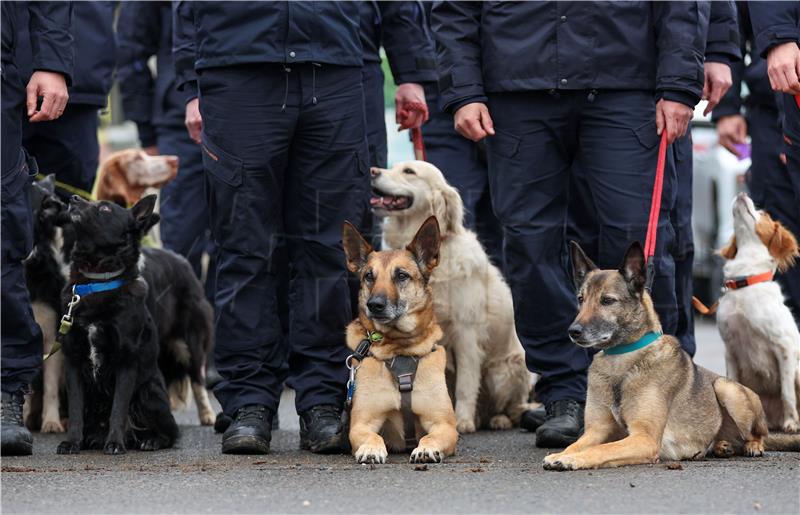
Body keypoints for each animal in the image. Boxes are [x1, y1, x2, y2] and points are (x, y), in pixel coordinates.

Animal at [57, 196, 188, 454]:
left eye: (105, 208)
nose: (73, 198)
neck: (96, 282)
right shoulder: (73, 361)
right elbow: (76, 409)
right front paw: (72, 442)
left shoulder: (126, 361)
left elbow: (118, 408)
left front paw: (115, 443)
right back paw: (93, 438)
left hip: (149, 392)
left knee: (170, 432)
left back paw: (150, 440)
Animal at [342, 216, 460, 466]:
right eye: (369, 276)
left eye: (401, 275)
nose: (375, 305)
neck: (399, 349)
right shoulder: (361, 424)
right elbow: (373, 436)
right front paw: (371, 449)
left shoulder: (445, 425)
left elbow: (430, 437)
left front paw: (426, 448)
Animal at [372, 160, 536, 432]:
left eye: (409, 172)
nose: (373, 171)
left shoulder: (466, 333)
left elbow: (466, 384)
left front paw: (462, 421)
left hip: (507, 369)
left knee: (513, 409)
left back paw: (497, 419)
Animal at [544, 242, 768, 472]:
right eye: (581, 299)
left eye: (607, 300)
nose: (573, 331)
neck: (621, 358)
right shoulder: (596, 431)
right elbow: (576, 444)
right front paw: (561, 454)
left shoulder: (645, 438)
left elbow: (601, 449)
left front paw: (571, 460)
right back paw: (721, 446)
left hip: (727, 389)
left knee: (758, 435)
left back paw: (753, 446)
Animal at [716, 194, 796, 440]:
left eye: (765, 214)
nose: (742, 194)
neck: (745, 281)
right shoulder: (730, 349)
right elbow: (731, 386)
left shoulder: (784, 347)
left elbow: (788, 393)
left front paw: (792, 423)